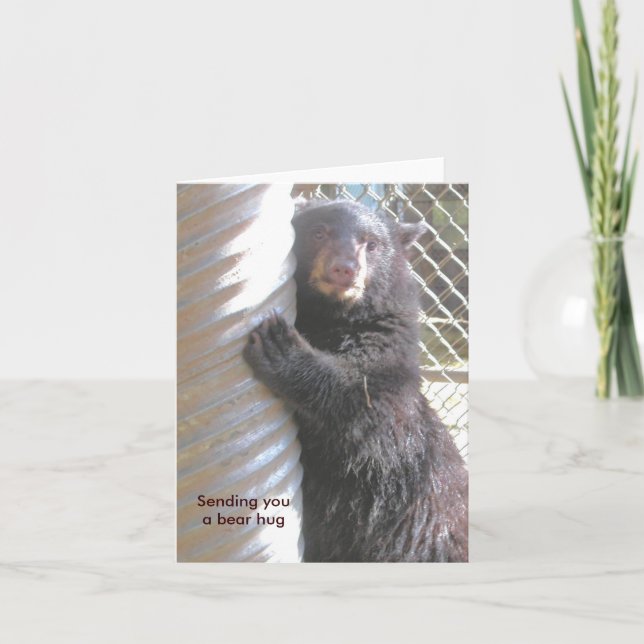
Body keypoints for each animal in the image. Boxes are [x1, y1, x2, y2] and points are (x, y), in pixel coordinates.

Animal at [243, 199, 468, 562]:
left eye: (371, 244)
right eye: (318, 233)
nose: (344, 269)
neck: (332, 318)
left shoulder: (389, 349)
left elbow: (376, 415)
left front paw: (281, 347)